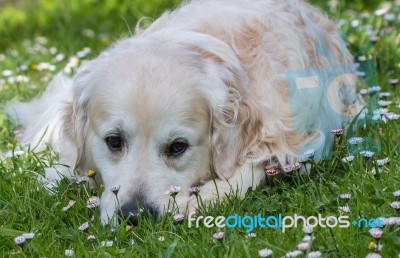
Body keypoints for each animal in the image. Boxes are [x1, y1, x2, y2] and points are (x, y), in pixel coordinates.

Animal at [4, 0, 360, 225]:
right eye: (114, 141)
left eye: (178, 147)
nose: (134, 216)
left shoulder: (298, 144)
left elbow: (243, 175)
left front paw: (190, 204)